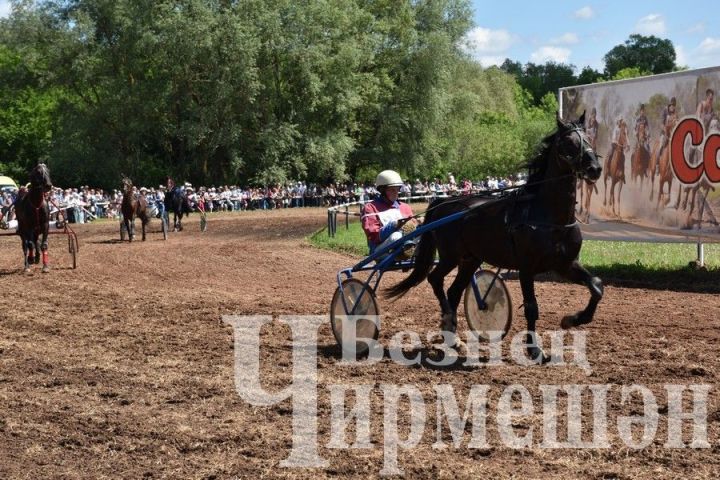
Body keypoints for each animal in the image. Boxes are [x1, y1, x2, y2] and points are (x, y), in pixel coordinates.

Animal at [330, 113, 600, 364]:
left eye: (589, 137)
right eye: (568, 142)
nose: (595, 168)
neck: (546, 215)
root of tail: (444, 202)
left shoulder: (565, 264)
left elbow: (596, 286)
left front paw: (573, 319)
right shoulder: (526, 267)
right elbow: (532, 307)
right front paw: (535, 351)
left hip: (469, 259)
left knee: (453, 290)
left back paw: (452, 334)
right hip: (450, 256)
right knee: (434, 279)